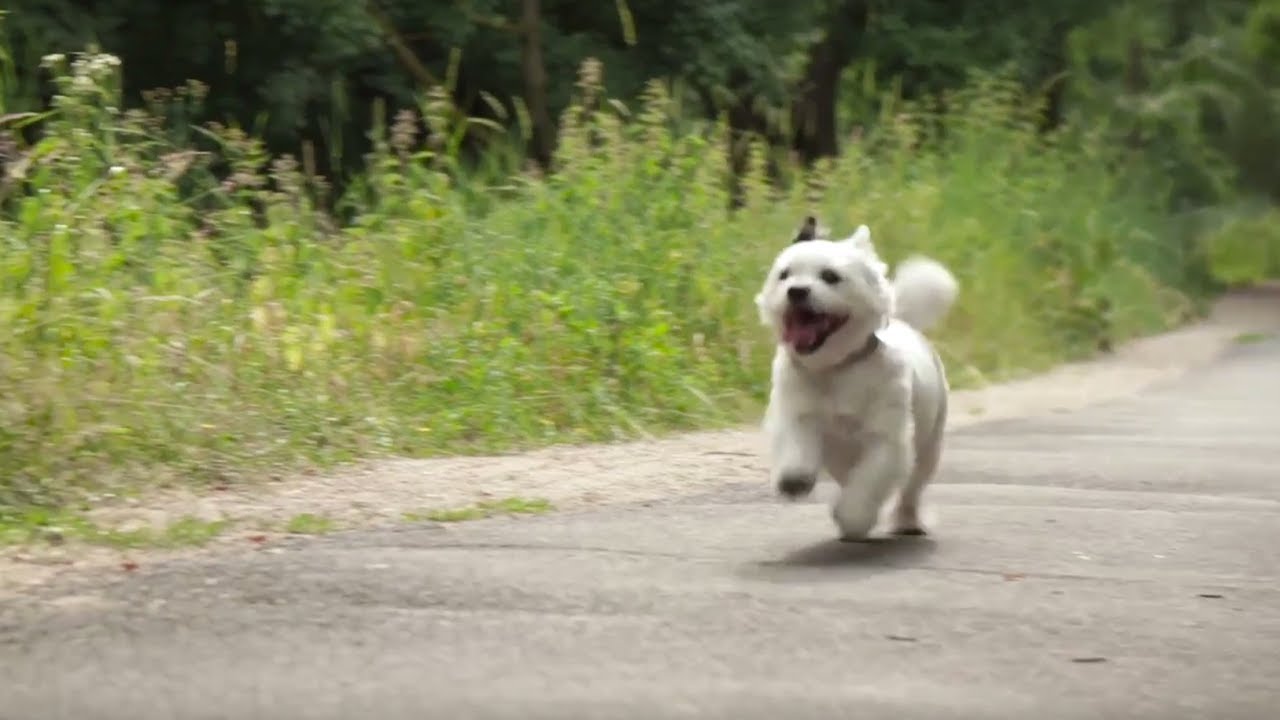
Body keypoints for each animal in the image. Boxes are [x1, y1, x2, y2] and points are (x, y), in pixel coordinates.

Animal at [752, 217, 957, 538]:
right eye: (784, 275)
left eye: (830, 276)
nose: (796, 291)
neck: (835, 368)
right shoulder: (796, 412)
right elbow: (795, 445)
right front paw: (794, 480)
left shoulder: (886, 440)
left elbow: (868, 483)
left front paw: (853, 517)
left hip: (929, 446)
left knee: (911, 489)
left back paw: (908, 521)